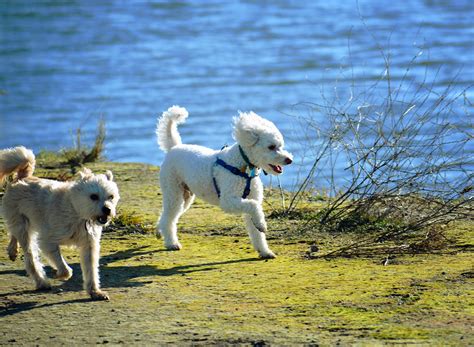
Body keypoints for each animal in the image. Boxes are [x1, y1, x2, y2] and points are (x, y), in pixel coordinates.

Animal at [0, 147, 118, 302]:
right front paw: (60, 274)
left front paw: (95, 292)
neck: (76, 211)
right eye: (93, 196)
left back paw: (13, 250)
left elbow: (91, 270)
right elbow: (62, 265)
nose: (107, 209)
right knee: (31, 258)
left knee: (14, 234)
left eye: (111, 196)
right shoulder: (48, 241)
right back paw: (41, 282)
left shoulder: (89, 246)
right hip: (24, 229)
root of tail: (22, 177)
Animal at [156, 107, 292, 260]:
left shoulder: (249, 199)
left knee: (167, 216)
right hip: (173, 192)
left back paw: (160, 232)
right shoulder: (228, 201)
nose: (289, 160)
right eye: (271, 147)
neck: (243, 166)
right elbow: (254, 207)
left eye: (280, 146)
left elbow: (256, 230)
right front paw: (262, 224)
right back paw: (171, 243)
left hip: (185, 196)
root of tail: (174, 147)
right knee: (169, 218)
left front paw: (264, 251)